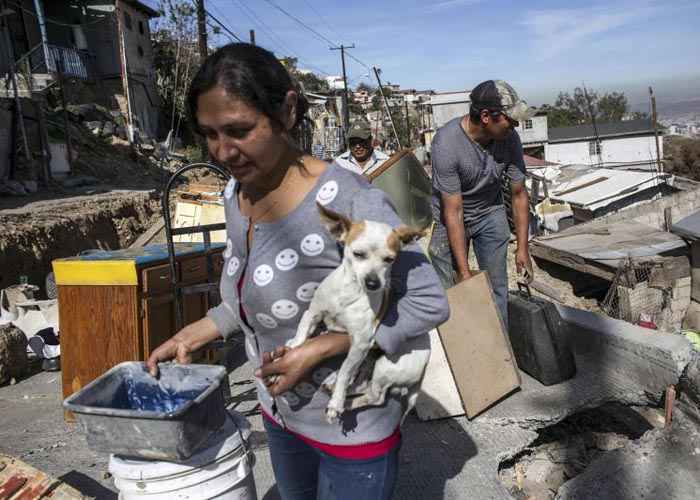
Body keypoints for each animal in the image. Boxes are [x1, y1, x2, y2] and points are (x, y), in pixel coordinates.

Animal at [286, 203, 430, 422]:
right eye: (358, 254)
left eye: (389, 259)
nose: (373, 283)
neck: (349, 293)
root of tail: (427, 361)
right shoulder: (314, 312)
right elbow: (303, 331)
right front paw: (294, 346)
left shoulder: (361, 344)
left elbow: (345, 371)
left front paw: (336, 404)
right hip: (371, 361)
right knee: (361, 382)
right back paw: (336, 385)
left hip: (385, 365)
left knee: (374, 396)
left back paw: (344, 402)